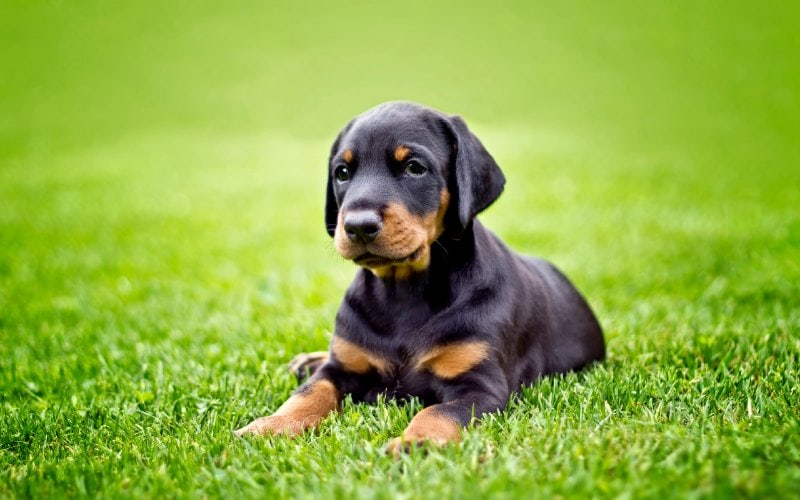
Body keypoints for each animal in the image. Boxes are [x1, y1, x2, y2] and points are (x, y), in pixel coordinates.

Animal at [234, 100, 604, 454]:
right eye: (342, 172)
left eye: (414, 167)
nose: (358, 225)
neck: (403, 291)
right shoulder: (341, 368)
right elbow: (309, 393)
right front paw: (271, 426)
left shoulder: (481, 387)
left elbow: (438, 412)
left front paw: (417, 443)